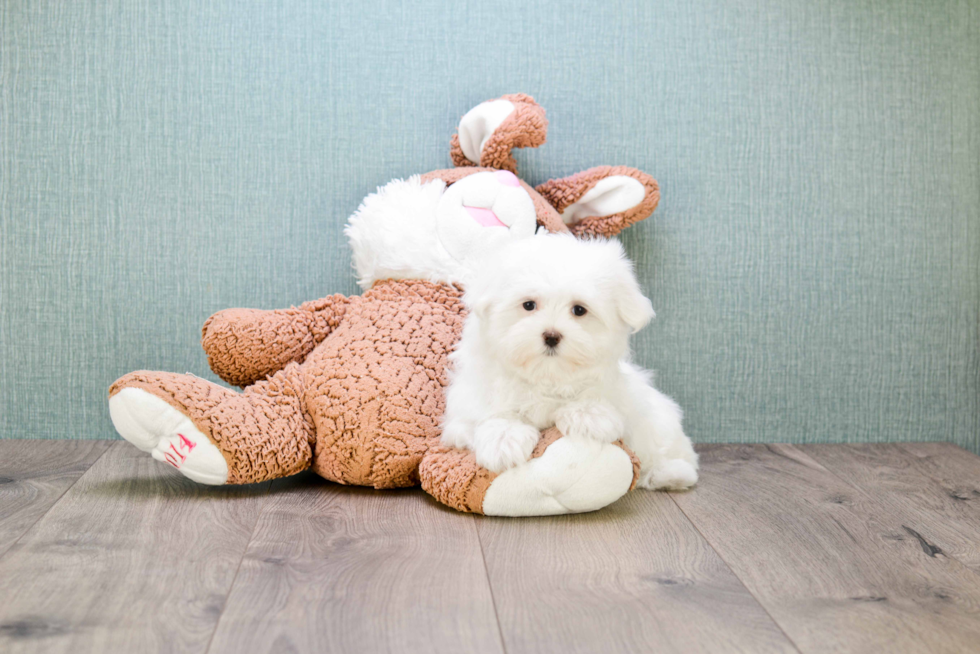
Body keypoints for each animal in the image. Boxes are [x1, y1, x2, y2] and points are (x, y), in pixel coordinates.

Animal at [444, 233, 696, 490]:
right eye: (528, 305)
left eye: (579, 310)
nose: (551, 335)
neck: (547, 376)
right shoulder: (467, 407)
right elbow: (493, 413)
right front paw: (504, 440)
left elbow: (598, 398)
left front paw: (589, 416)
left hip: (660, 423)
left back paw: (671, 473)